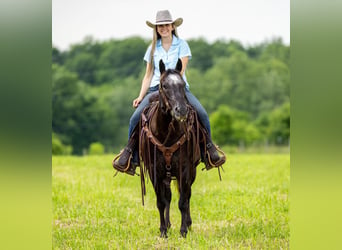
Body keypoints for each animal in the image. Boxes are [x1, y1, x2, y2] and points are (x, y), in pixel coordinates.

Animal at [139, 59, 203, 237]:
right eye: (164, 85)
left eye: (182, 84)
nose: (181, 110)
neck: (165, 135)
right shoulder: (155, 171)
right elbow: (161, 201)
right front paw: (163, 231)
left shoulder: (185, 169)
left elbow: (183, 201)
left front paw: (183, 231)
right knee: (168, 196)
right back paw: (167, 224)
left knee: (186, 195)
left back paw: (187, 223)